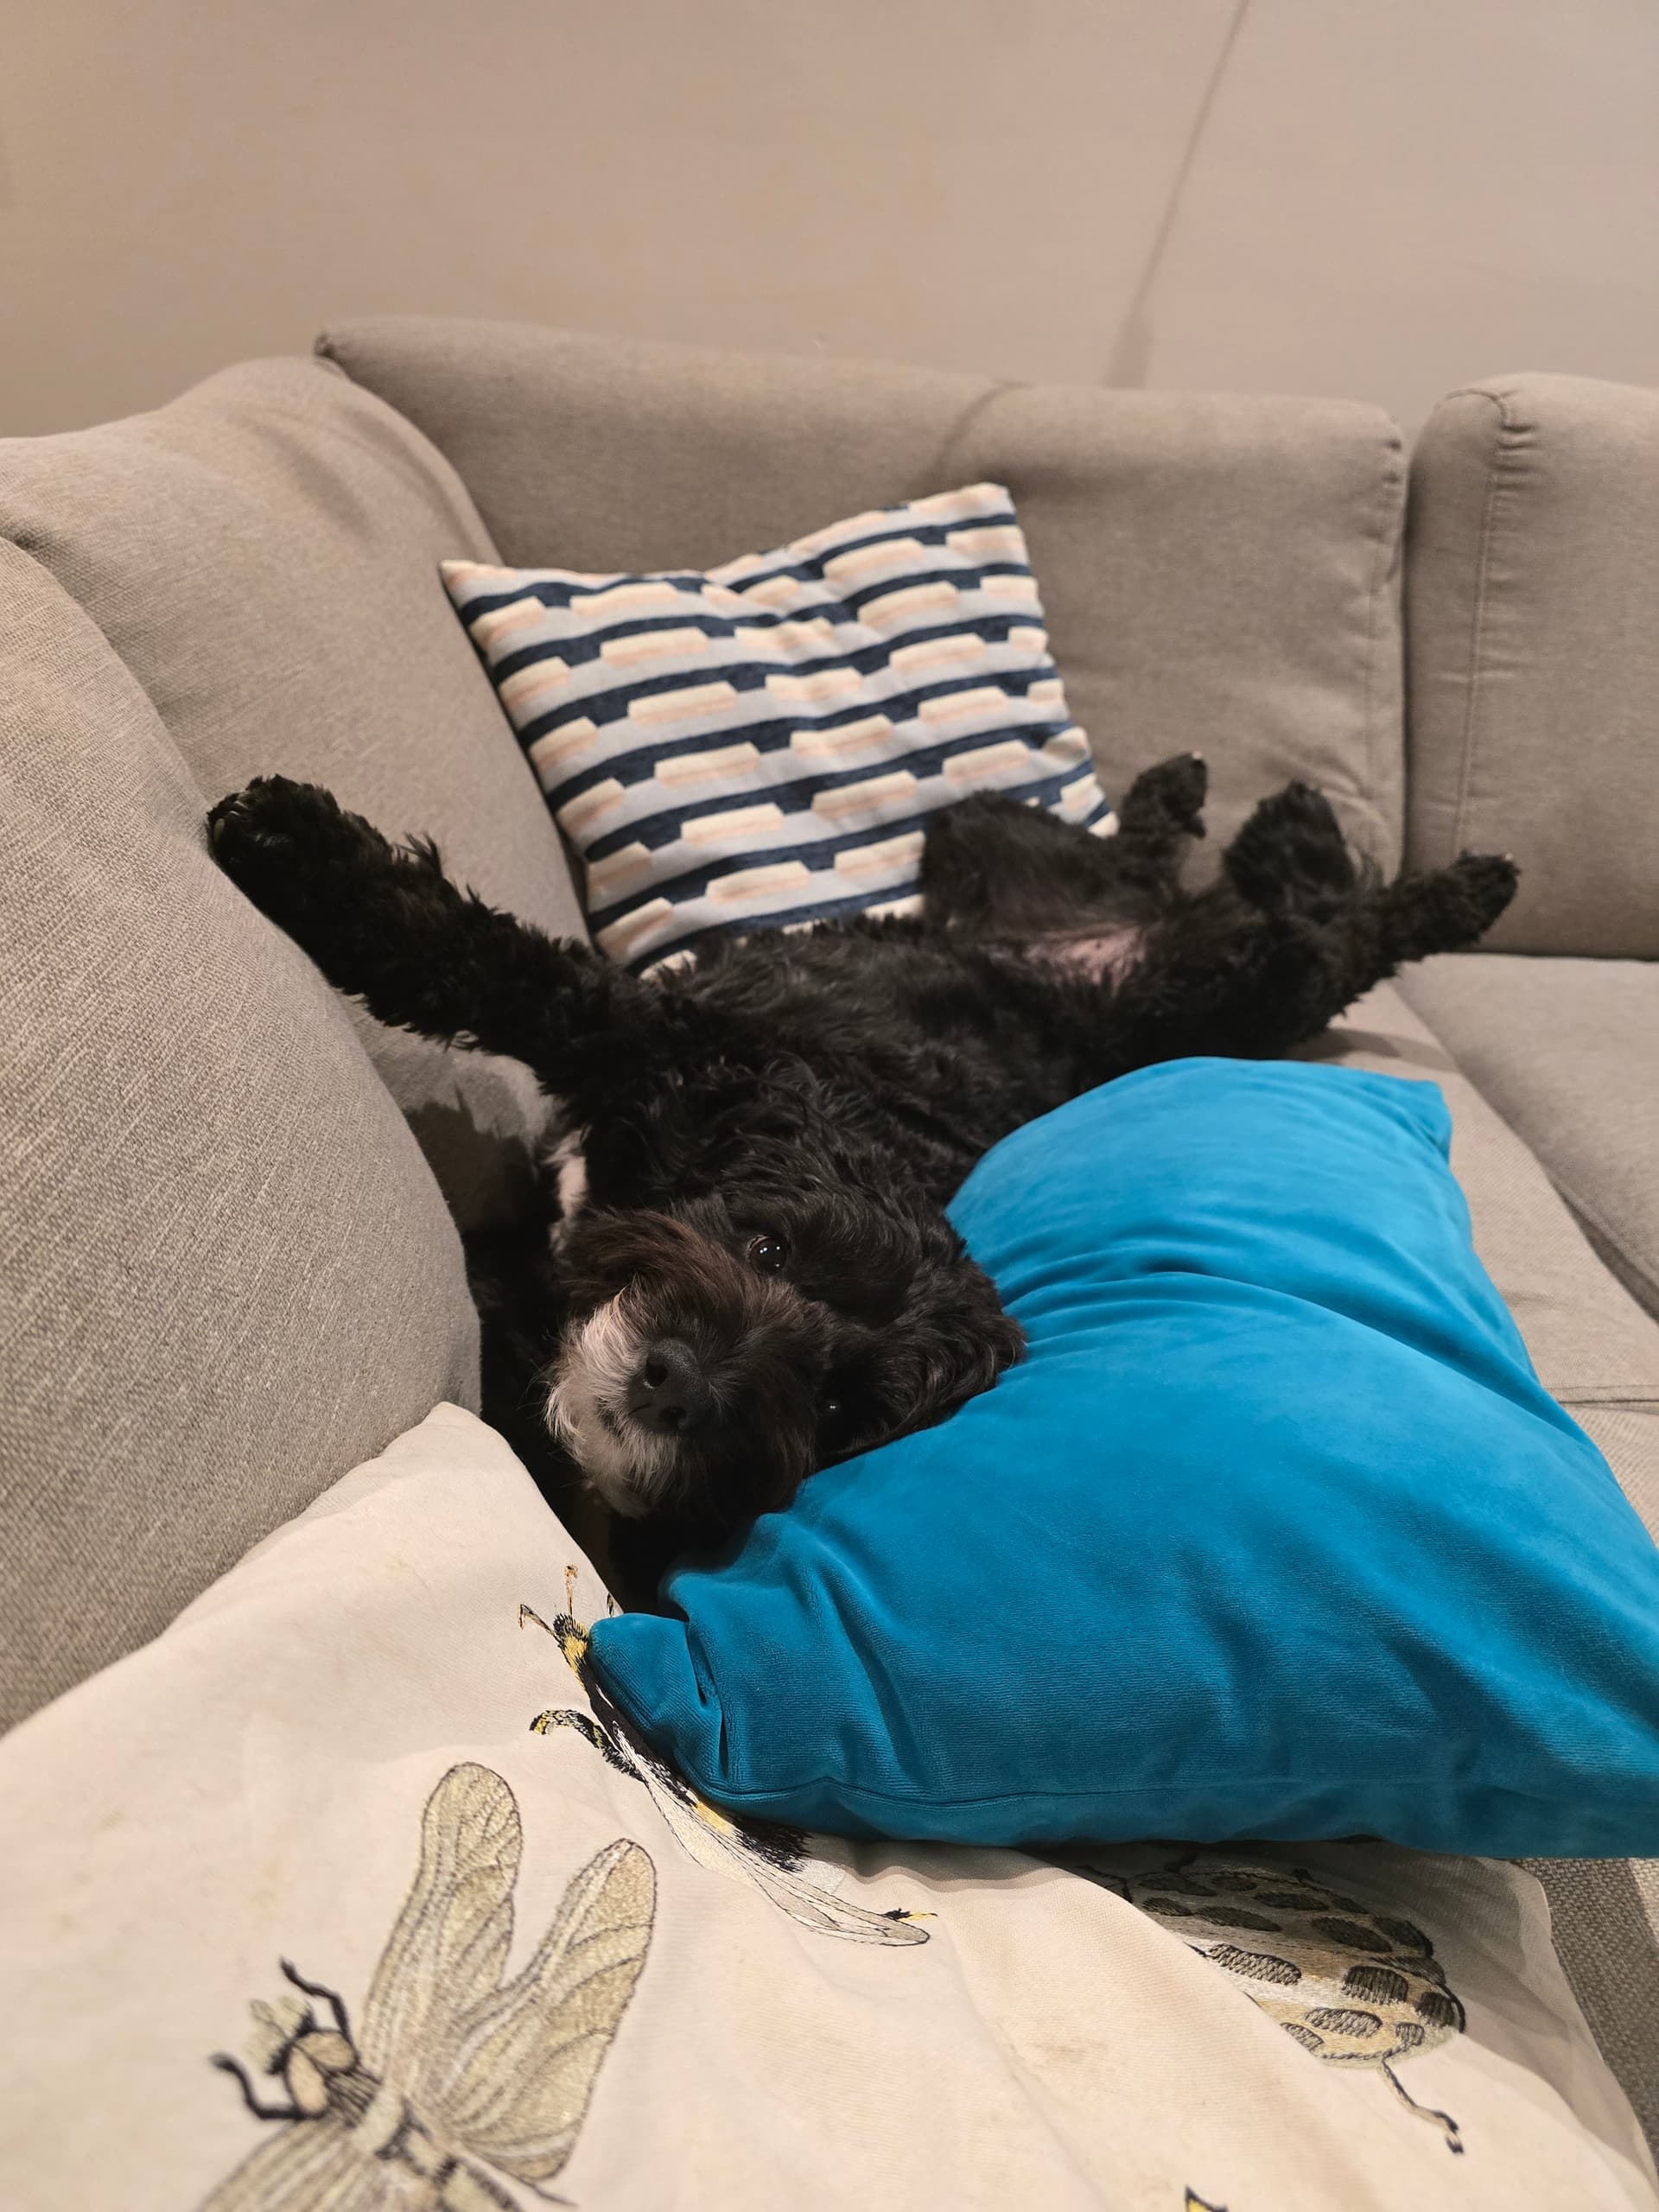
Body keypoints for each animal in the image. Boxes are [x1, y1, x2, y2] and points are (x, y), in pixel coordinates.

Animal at [207, 756, 1516, 1585]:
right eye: (766, 1245)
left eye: (837, 1409)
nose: (679, 1386)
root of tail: (1107, 978)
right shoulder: (642, 1037)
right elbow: (490, 963)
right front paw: (294, 848)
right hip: (994, 846)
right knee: (1234, 890)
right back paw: (1246, 808)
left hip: (1221, 984)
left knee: (1322, 926)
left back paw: (1404, 862)